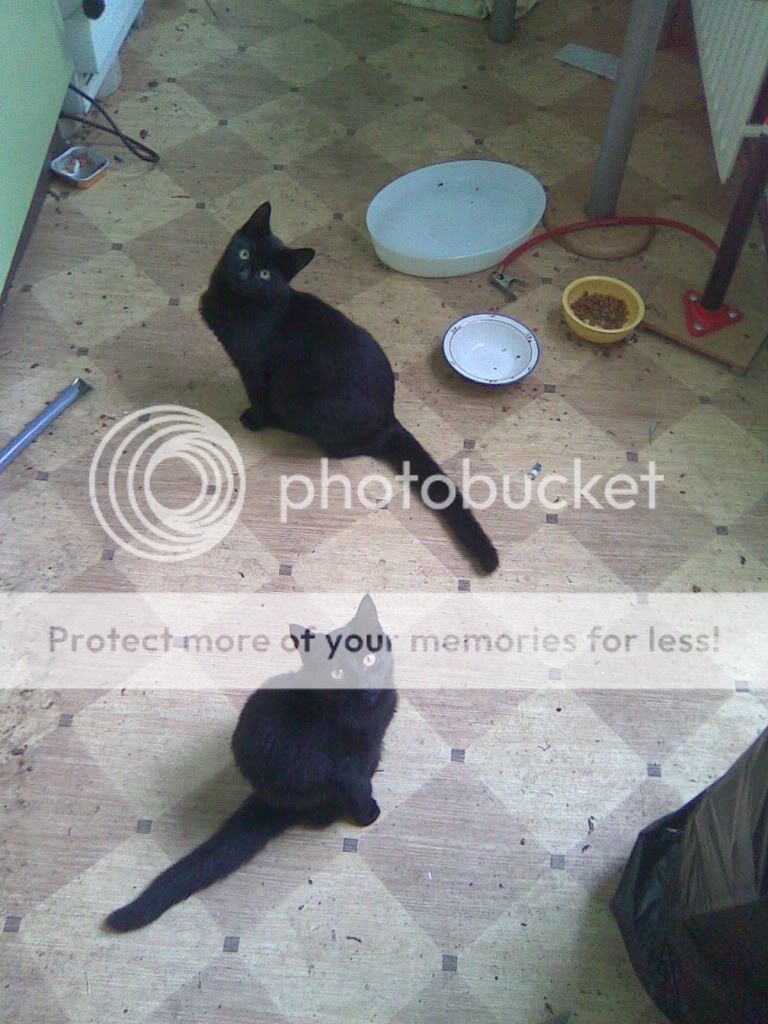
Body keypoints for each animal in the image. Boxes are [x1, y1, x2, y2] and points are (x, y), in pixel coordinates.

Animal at [105, 594, 397, 932]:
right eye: (336, 674)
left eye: (369, 660)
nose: (364, 685)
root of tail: (267, 800)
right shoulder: (345, 768)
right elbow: (358, 788)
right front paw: (369, 813)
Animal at [199, 202, 499, 574]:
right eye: (243, 253)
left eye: (266, 275)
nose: (245, 273)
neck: (234, 302)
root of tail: (389, 421)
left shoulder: (253, 367)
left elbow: (257, 396)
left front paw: (254, 420)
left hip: (317, 410)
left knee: (343, 449)